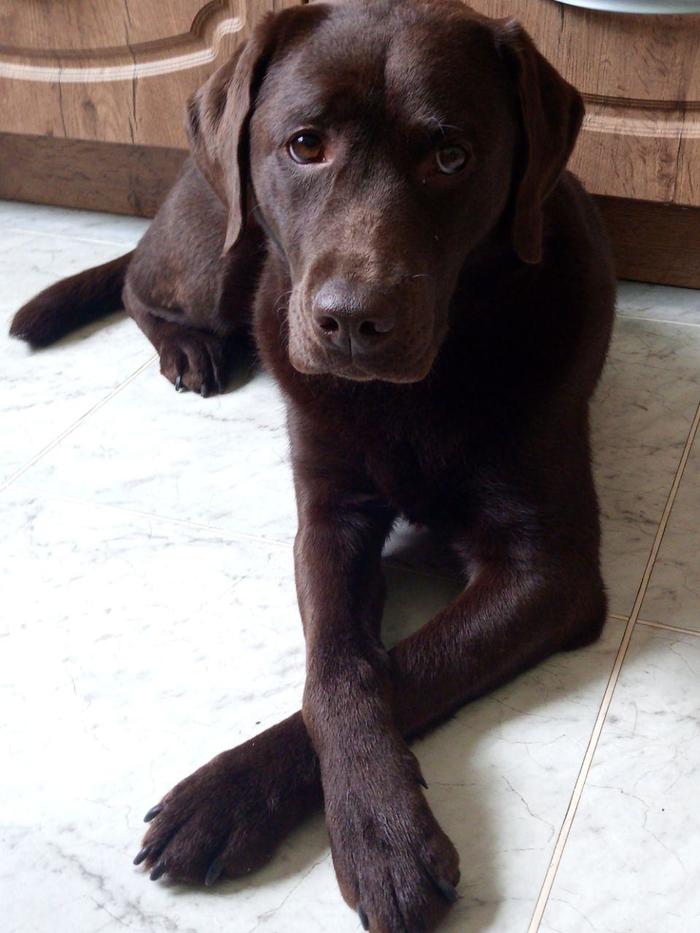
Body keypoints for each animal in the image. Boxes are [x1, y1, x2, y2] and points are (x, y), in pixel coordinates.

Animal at [10, 1, 616, 924]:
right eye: (304, 145)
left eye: (451, 156)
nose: (352, 321)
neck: (418, 392)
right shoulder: (328, 513)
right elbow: (336, 664)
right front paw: (365, 823)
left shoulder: (547, 567)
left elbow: (408, 664)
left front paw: (329, 820)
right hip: (223, 248)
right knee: (138, 285)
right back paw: (189, 348)